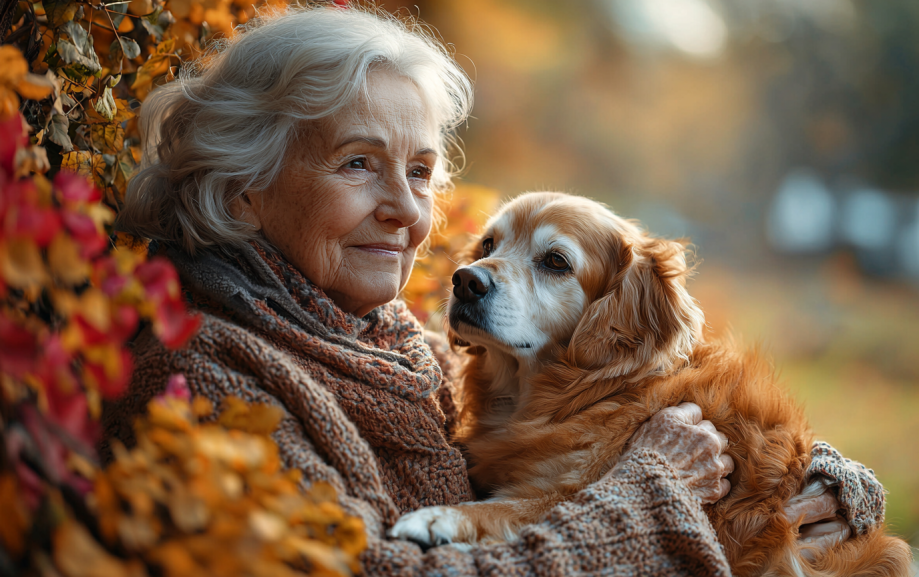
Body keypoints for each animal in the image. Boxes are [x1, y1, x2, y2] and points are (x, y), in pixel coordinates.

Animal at [390, 191, 912, 572]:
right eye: (488, 245)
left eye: (556, 262)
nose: (465, 281)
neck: (588, 394)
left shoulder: (560, 494)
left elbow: (499, 511)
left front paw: (437, 517)